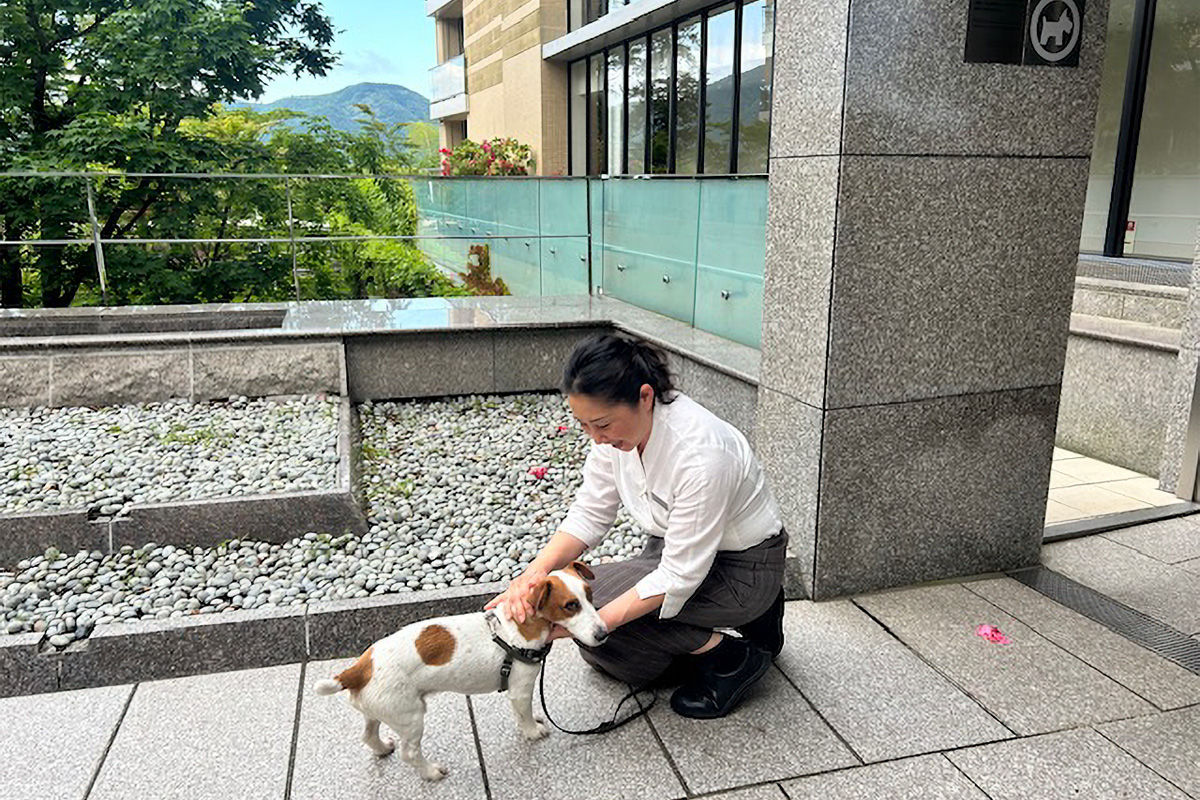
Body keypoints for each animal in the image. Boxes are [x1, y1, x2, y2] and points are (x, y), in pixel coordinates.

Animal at [314, 563, 604, 782]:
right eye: (570, 605)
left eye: (589, 595)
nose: (603, 634)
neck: (518, 628)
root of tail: (360, 668)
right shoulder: (520, 689)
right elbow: (524, 716)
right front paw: (532, 731)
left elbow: (523, 713)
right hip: (410, 718)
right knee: (409, 754)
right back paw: (431, 772)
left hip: (379, 710)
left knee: (368, 735)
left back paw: (383, 748)